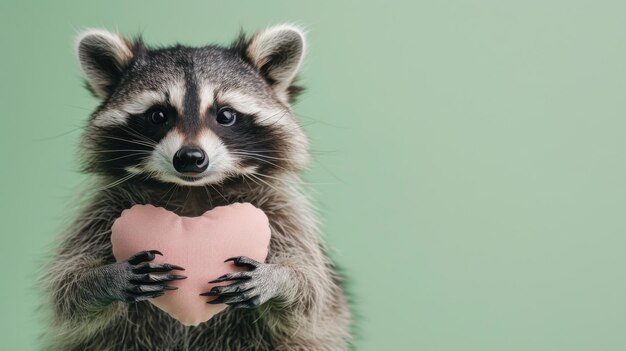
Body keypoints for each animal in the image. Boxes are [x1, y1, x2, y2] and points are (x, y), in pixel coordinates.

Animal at [40, 25, 352, 351]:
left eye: (225, 115)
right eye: (159, 115)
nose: (190, 158)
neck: (193, 191)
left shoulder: (281, 210)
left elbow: (312, 292)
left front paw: (279, 278)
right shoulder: (103, 209)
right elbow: (66, 291)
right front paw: (103, 278)